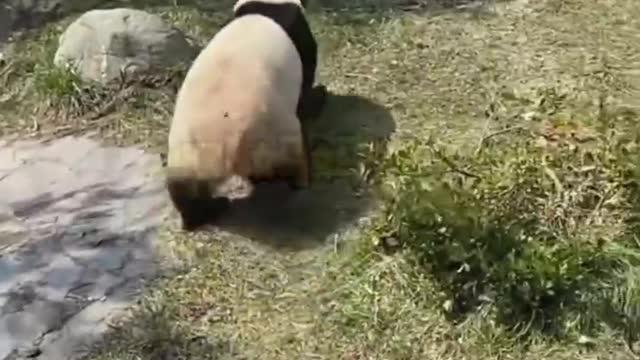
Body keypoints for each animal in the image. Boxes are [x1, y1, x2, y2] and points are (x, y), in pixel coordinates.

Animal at [165, 0, 320, 231]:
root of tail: (223, 150)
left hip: (185, 153)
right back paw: (302, 179)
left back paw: (207, 211)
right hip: (274, 136)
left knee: (184, 191)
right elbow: (308, 67)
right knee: (294, 156)